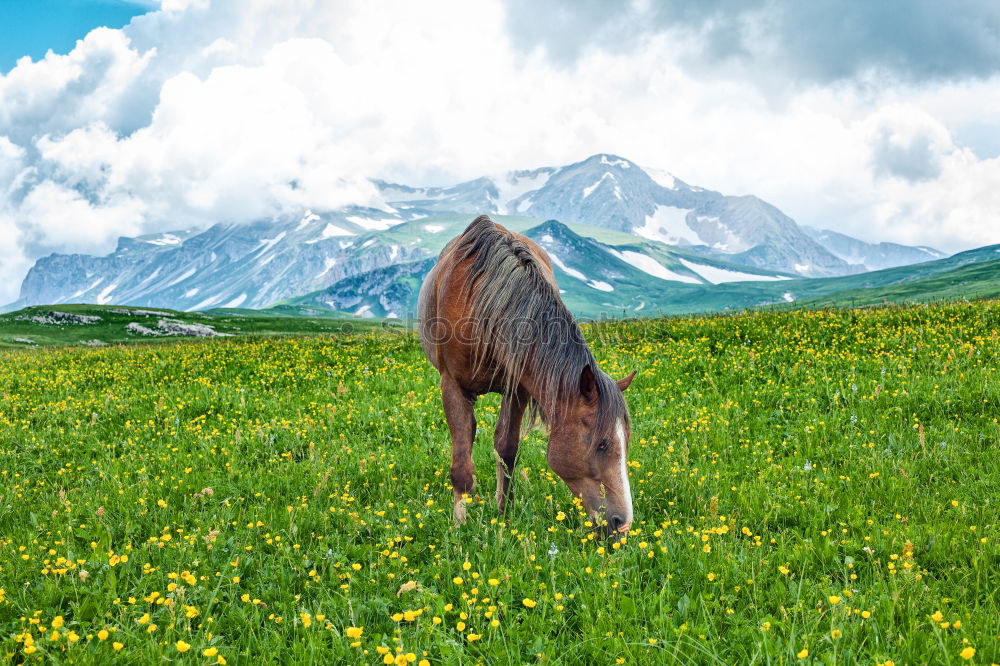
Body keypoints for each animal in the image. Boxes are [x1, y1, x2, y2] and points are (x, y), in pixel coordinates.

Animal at [418, 215, 636, 532]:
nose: (623, 525)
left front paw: (503, 515)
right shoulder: (452, 386)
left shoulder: (518, 388)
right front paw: (460, 528)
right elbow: (461, 463)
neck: (487, 306)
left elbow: (507, 449)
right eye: (602, 443)